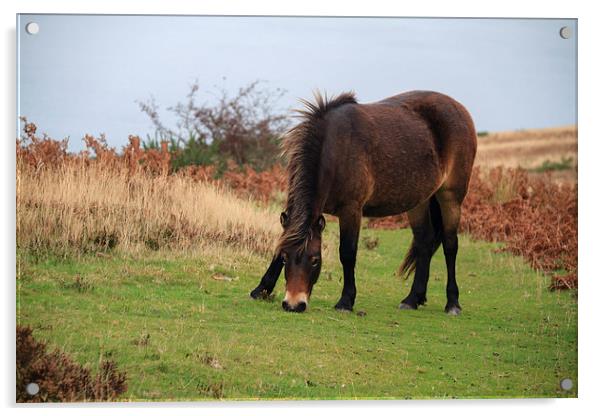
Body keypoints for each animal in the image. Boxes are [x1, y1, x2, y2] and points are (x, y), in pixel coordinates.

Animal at [248, 89, 474, 314]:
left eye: (315, 260)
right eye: (286, 258)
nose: (294, 304)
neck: (336, 150)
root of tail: (459, 109)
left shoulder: (351, 210)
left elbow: (347, 253)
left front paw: (346, 301)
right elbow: (282, 244)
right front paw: (261, 290)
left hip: (450, 197)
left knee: (450, 246)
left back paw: (452, 303)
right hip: (419, 200)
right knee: (424, 242)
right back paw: (412, 299)